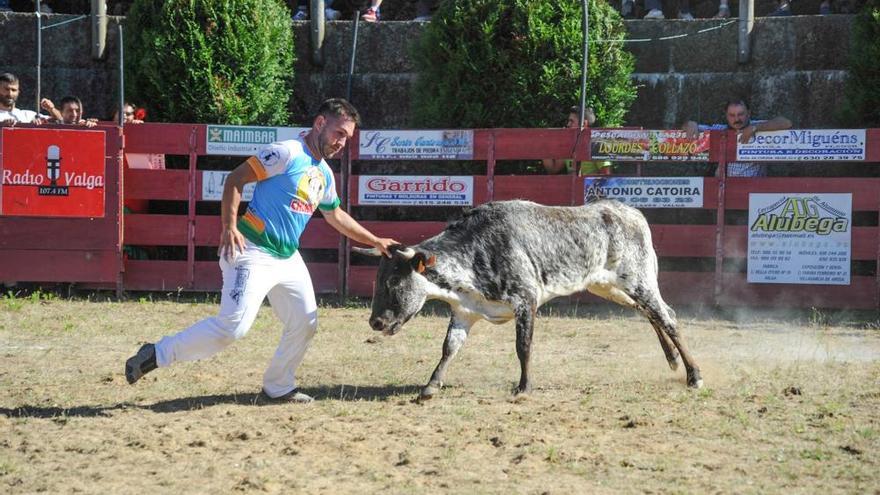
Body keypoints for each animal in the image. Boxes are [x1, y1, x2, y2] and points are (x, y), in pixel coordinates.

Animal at [354, 200, 704, 402]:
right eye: (378, 279)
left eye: (394, 282)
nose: (376, 322)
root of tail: (631, 213)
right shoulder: (465, 311)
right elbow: (449, 348)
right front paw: (430, 386)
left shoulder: (526, 300)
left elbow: (523, 346)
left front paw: (523, 387)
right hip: (608, 287)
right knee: (651, 314)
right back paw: (674, 360)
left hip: (638, 280)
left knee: (667, 316)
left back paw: (694, 375)